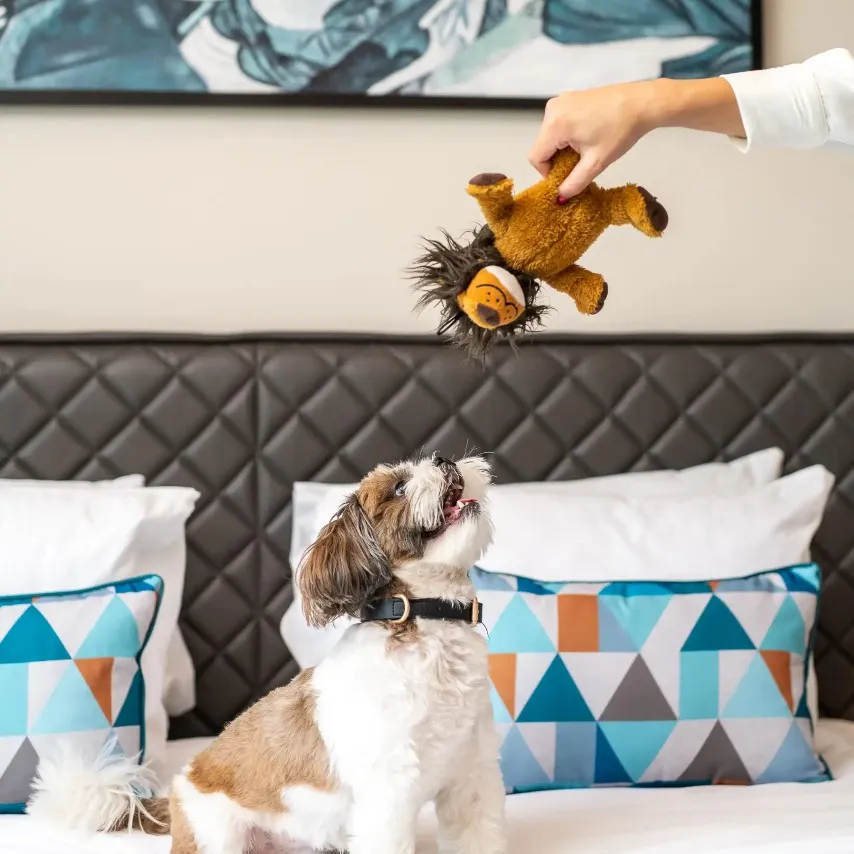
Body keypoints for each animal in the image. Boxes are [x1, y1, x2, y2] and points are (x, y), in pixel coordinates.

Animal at [28, 454, 508, 854]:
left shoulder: (473, 784)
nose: (443, 460)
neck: (427, 624)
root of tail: (174, 792)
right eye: (400, 488)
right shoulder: (387, 800)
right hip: (218, 837)